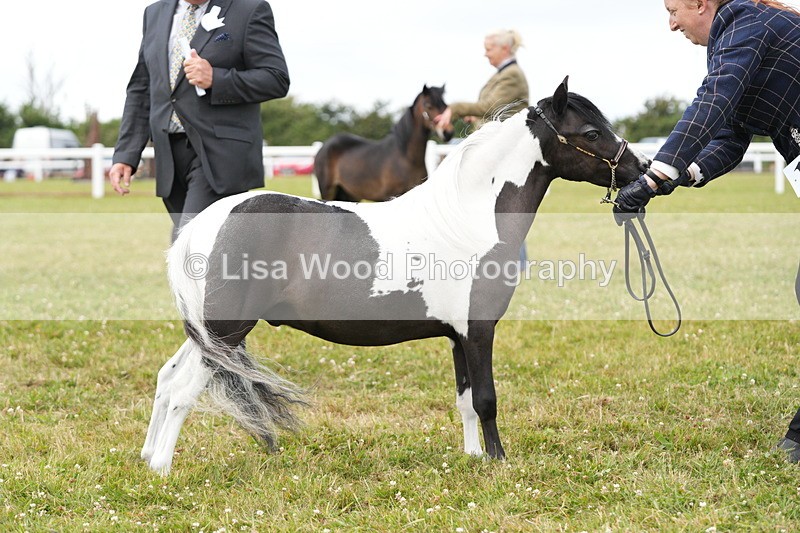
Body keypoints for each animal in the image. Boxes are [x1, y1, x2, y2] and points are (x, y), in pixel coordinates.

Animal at [313, 85, 451, 202]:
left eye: (445, 105)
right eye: (428, 105)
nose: (448, 132)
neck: (406, 158)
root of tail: (324, 146)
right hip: (328, 191)